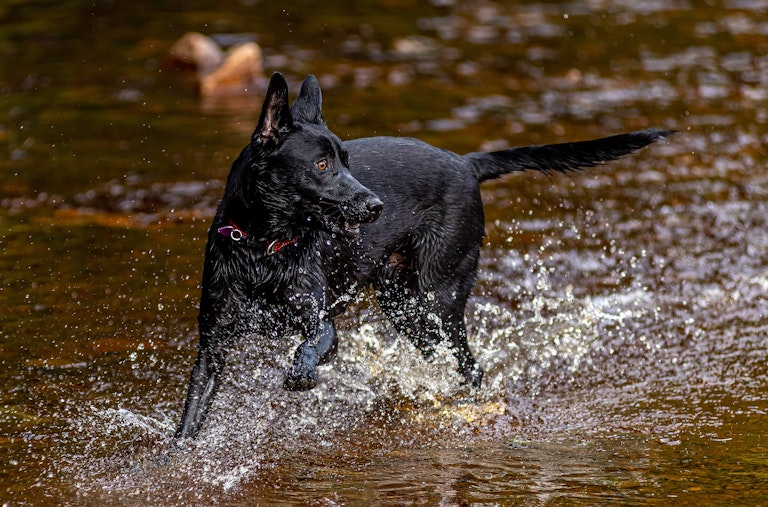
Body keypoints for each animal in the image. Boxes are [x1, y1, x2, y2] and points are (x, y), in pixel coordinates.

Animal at [174, 72, 672, 440]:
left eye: (348, 161)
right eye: (322, 165)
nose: (375, 206)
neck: (262, 250)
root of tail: (467, 163)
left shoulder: (323, 323)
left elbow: (312, 346)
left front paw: (300, 372)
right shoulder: (212, 345)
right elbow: (192, 414)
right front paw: (175, 458)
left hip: (437, 301)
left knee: (472, 367)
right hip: (405, 307)